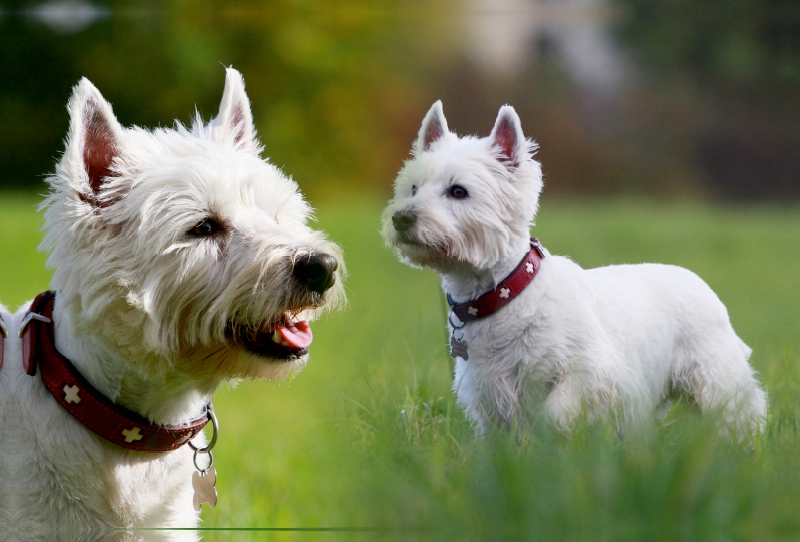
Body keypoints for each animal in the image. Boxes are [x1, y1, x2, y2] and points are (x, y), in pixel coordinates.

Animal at [382, 102, 768, 440]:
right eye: (413, 188)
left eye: (458, 191)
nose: (401, 218)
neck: (502, 294)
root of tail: (697, 280)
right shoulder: (487, 392)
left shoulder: (591, 372)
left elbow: (556, 411)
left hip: (715, 378)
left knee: (739, 413)